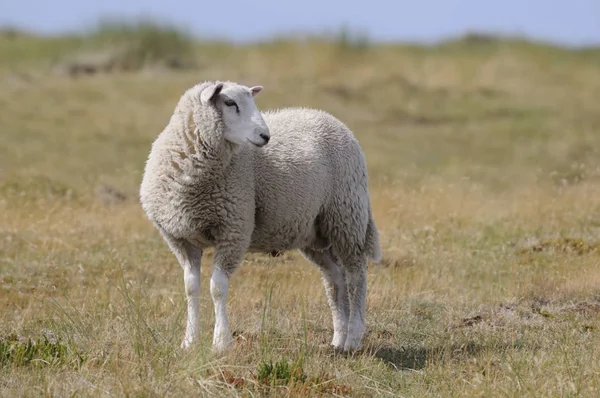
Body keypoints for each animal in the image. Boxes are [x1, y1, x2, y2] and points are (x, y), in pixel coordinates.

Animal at [140, 79, 382, 352]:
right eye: (229, 102)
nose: (265, 136)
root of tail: (332, 119)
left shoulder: (233, 229)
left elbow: (217, 288)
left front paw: (221, 342)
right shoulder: (180, 239)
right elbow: (191, 288)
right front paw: (189, 341)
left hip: (347, 216)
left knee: (356, 276)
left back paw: (354, 337)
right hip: (314, 231)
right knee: (335, 280)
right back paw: (338, 339)